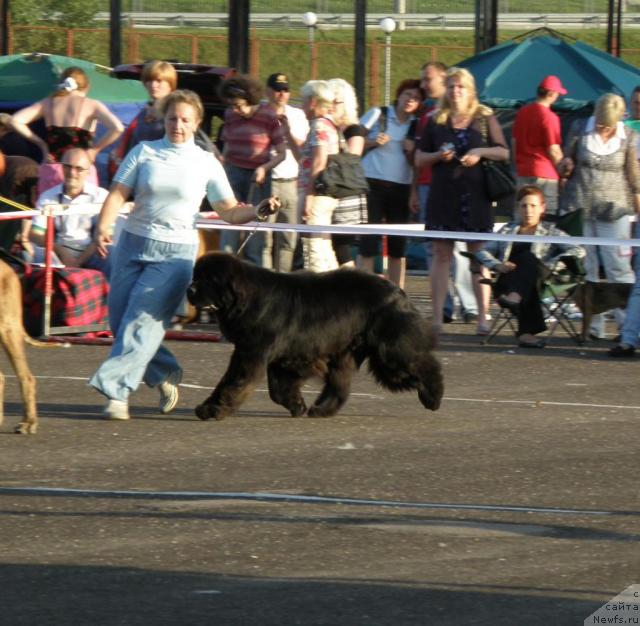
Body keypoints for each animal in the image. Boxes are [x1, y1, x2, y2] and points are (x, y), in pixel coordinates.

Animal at [188, 252, 442, 420]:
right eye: (196, 276)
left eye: (209, 279)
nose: (189, 289)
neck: (249, 299)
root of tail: (399, 291)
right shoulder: (284, 358)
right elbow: (276, 389)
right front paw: (297, 405)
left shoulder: (252, 353)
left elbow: (233, 382)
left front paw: (214, 410)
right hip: (345, 352)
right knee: (340, 385)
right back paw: (321, 410)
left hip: (389, 351)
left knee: (424, 364)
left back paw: (433, 398)